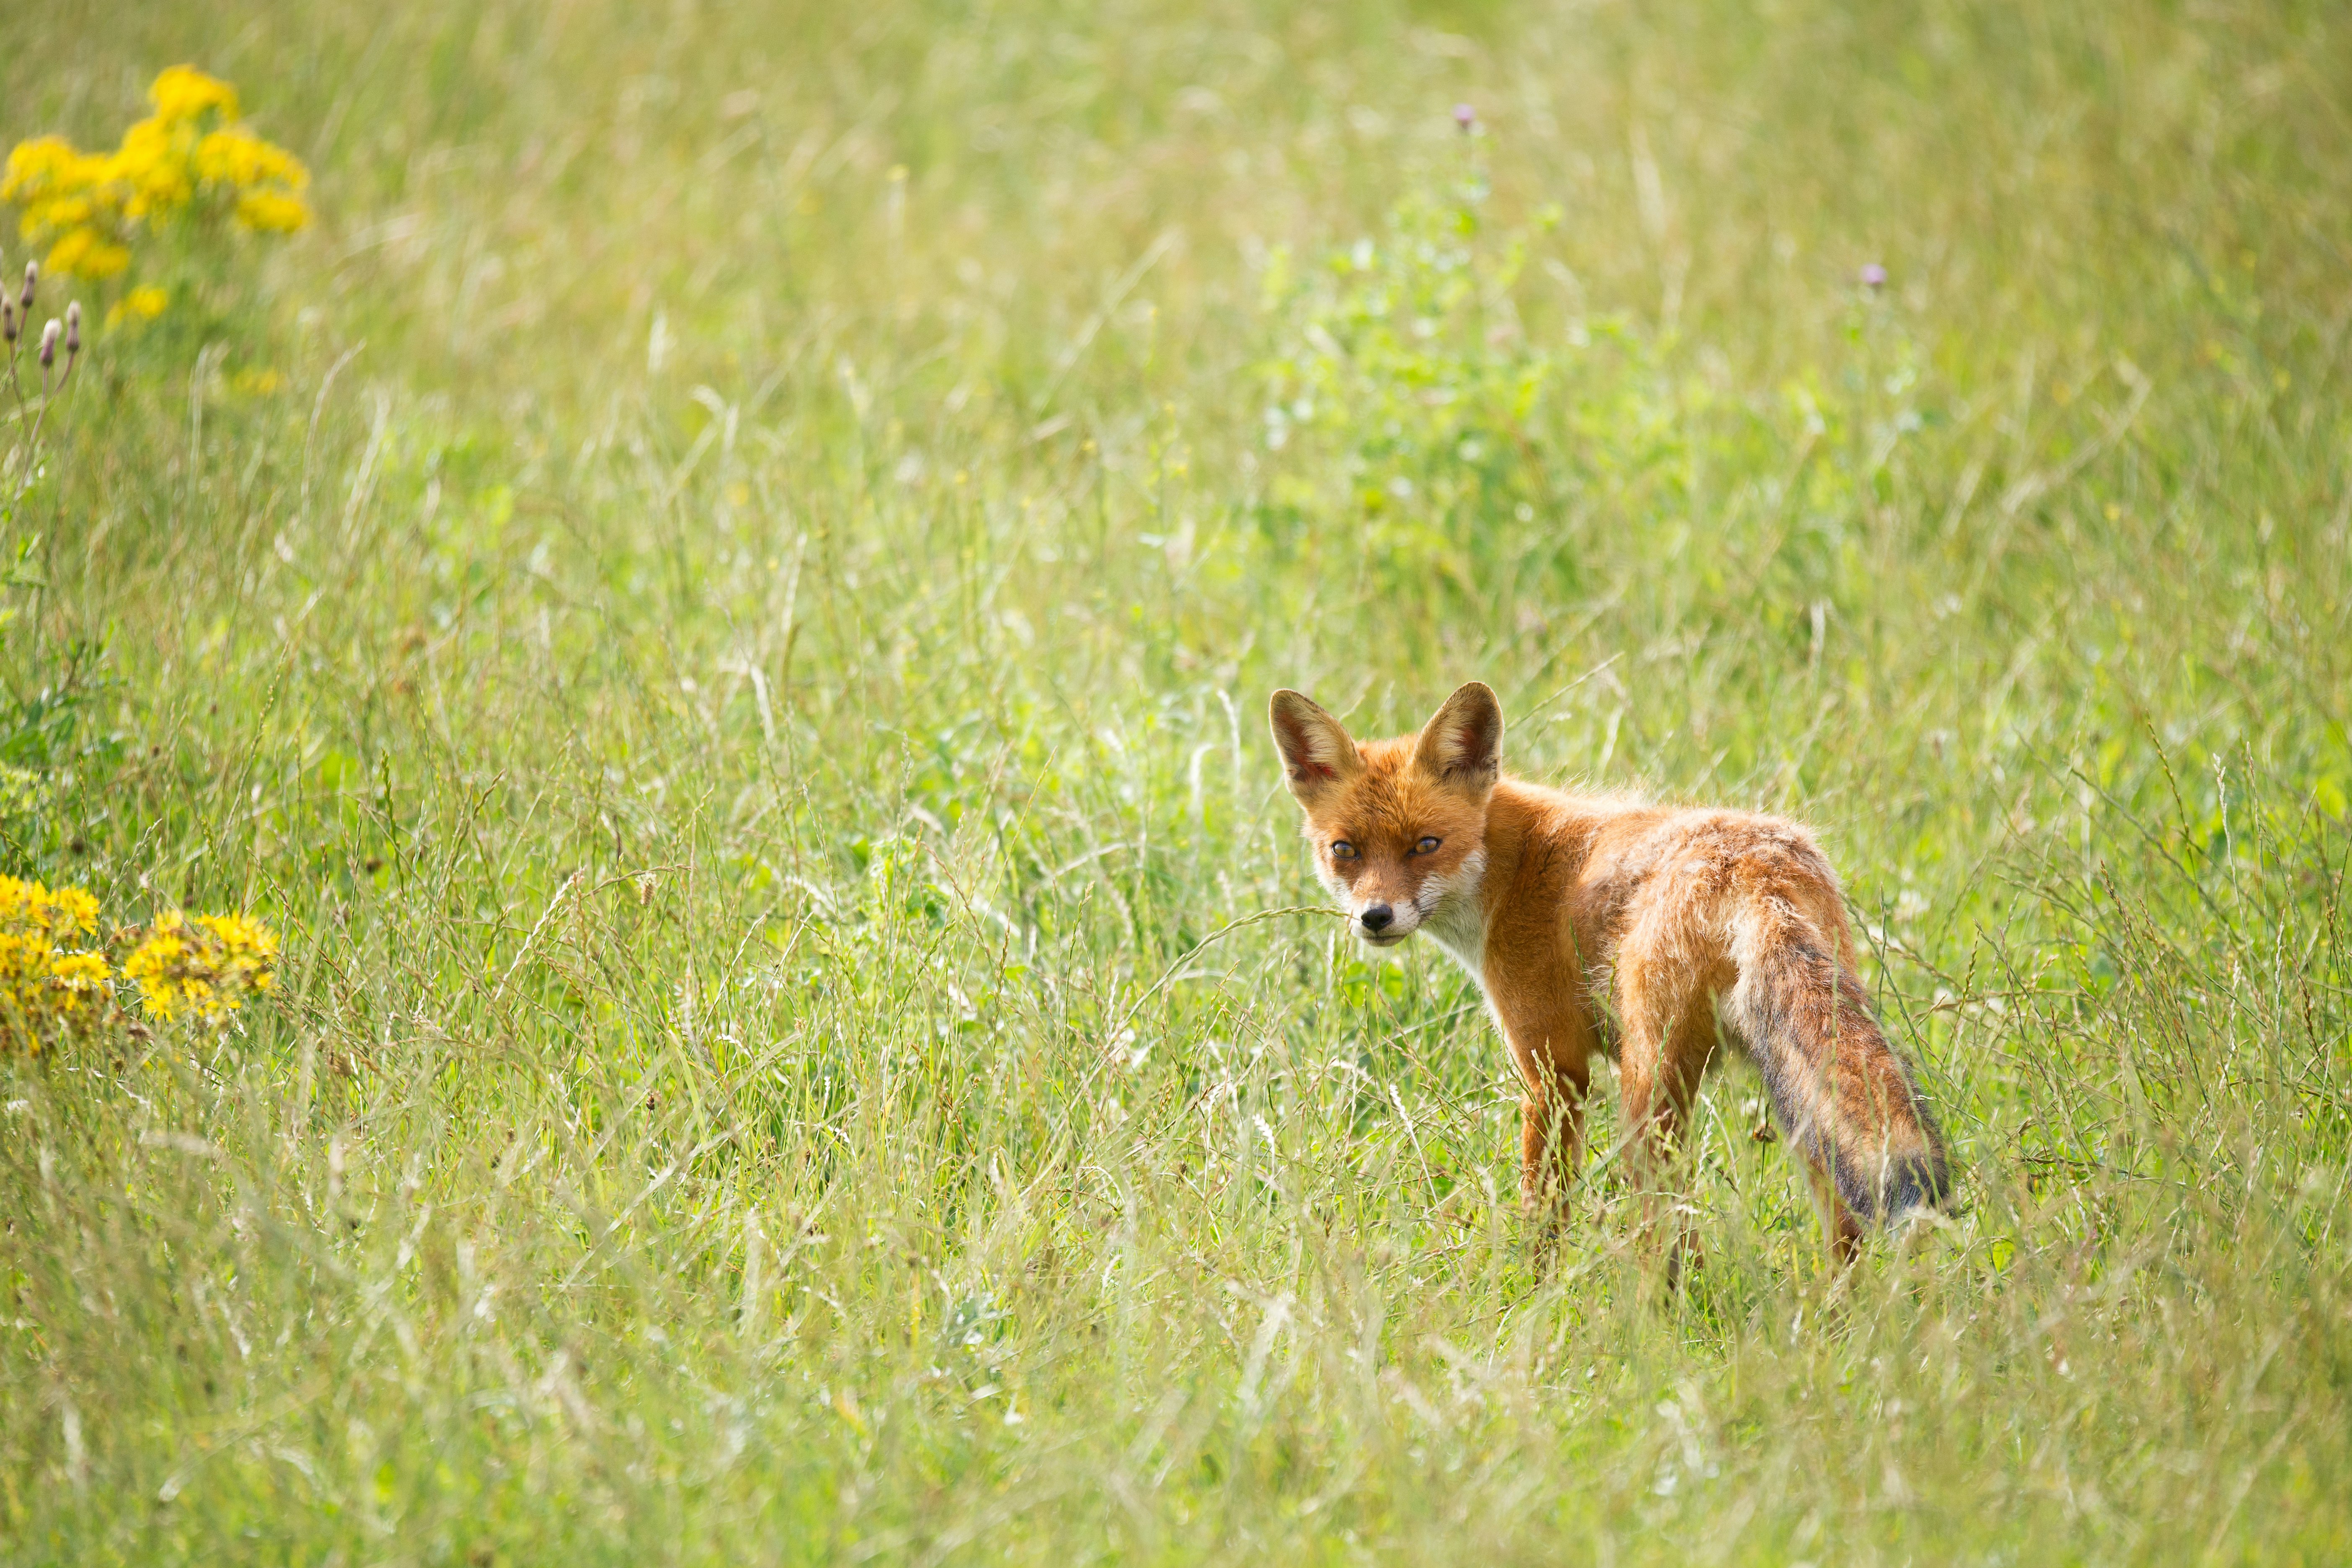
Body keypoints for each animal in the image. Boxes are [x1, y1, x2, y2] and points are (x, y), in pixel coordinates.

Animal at [1270, 682, 1947, 1260]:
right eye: (1345, 850)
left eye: (1426, 845)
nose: (1375, 917)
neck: (1513, 871)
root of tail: (1758, 868)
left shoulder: (1554, 1071)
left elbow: (1542, 1215)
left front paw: (1529, 1297)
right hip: (1800, 1094)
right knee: (1842, 1228)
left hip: (1648, 1089)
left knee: (1665, 1233)